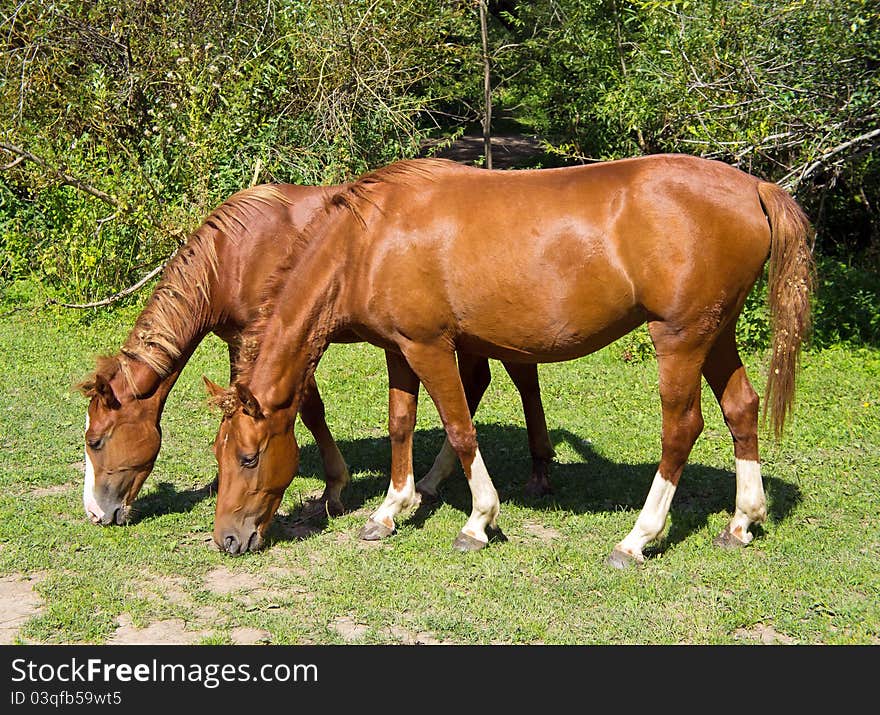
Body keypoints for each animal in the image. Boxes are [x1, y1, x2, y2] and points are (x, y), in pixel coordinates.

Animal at [77, 183, 556, 524]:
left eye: (96, 441)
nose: (96, 513)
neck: (237, 255)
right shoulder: (245, 343)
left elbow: (309, 410)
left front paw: (335, 488)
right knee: (480, 382)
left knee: (520, 379)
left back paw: (538, 471)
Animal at [210, 154, 816, 568]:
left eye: (248, 457)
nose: (227, 539)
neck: (369, 241)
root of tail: (754, 187)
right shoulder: (399, 350)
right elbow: (401, 424)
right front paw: (390, 509)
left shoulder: (430, 347)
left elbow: (459, 428)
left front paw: (479, 520)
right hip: (716, 335)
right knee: (741, 409)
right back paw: (741, 521)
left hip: (681, 339)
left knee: (682, 428)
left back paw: (637, 538)